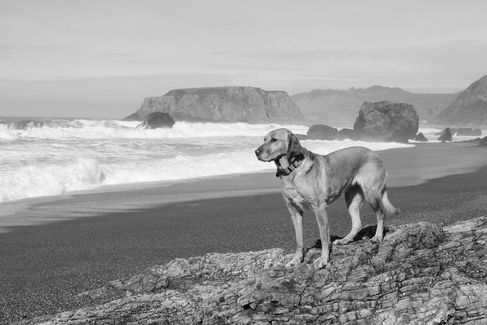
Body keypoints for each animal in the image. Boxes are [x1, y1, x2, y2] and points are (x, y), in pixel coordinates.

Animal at [255, 128, 400, 268]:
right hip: (351, 199)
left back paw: (378, 236)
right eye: (264, 139)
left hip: (371, 194)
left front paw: (323, 259)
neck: (293, 170)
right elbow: (298, 240)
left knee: (381, 214)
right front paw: (296, 260)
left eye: (274, 140)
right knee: (357, 223)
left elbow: (324, 238)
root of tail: (375, 153)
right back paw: (345, 240)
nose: (256, 152)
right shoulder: (294, 211)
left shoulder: (319, 208)